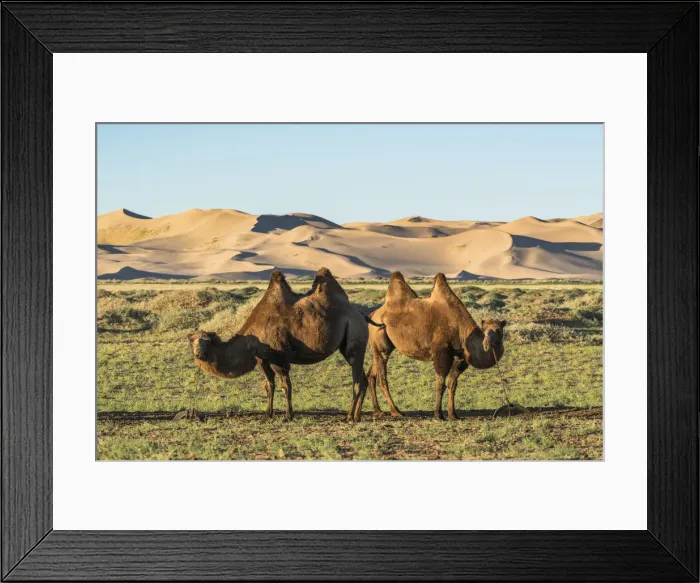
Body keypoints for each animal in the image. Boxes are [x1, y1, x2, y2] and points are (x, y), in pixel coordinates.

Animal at [188, 268, 380, 421]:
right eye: (192, 342)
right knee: (362, 379)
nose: (199, 354)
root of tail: (361, 314)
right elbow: (268, 386)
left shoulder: (278, 357)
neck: (251, 338)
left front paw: (288, 415)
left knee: (357, 380)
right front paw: (267, 414)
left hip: (354, 337)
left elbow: (285, 386)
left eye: (205, 342)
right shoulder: (262, 359)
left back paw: (349, 417)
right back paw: (356, 416)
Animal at [365, 272, 507, 420]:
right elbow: (440, 384)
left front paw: (453, 414)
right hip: (380, 339)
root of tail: (373, 314)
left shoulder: (461, 356)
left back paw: (378, 411)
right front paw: (438, 415)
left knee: (371, 374)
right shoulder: (441, 352)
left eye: (499, 330)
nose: (488, 342)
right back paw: (396, 411)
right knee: (382, 378)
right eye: (485, 330)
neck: (462, 329)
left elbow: (452, 384)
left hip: (381, 346)